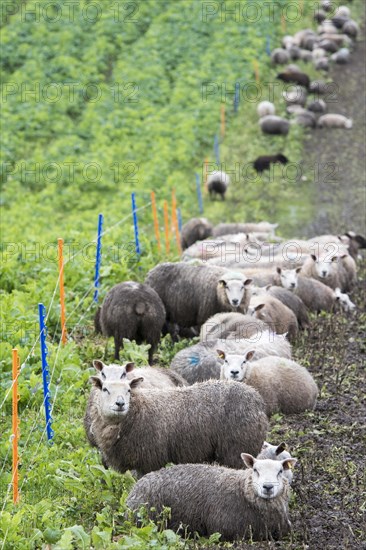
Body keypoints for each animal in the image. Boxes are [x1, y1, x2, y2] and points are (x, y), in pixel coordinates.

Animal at [87, 378, 268, 476]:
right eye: (104, 389)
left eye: (129, 390)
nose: (120, 404)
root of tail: (257, 398)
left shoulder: (150, 461)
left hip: (237, 450)